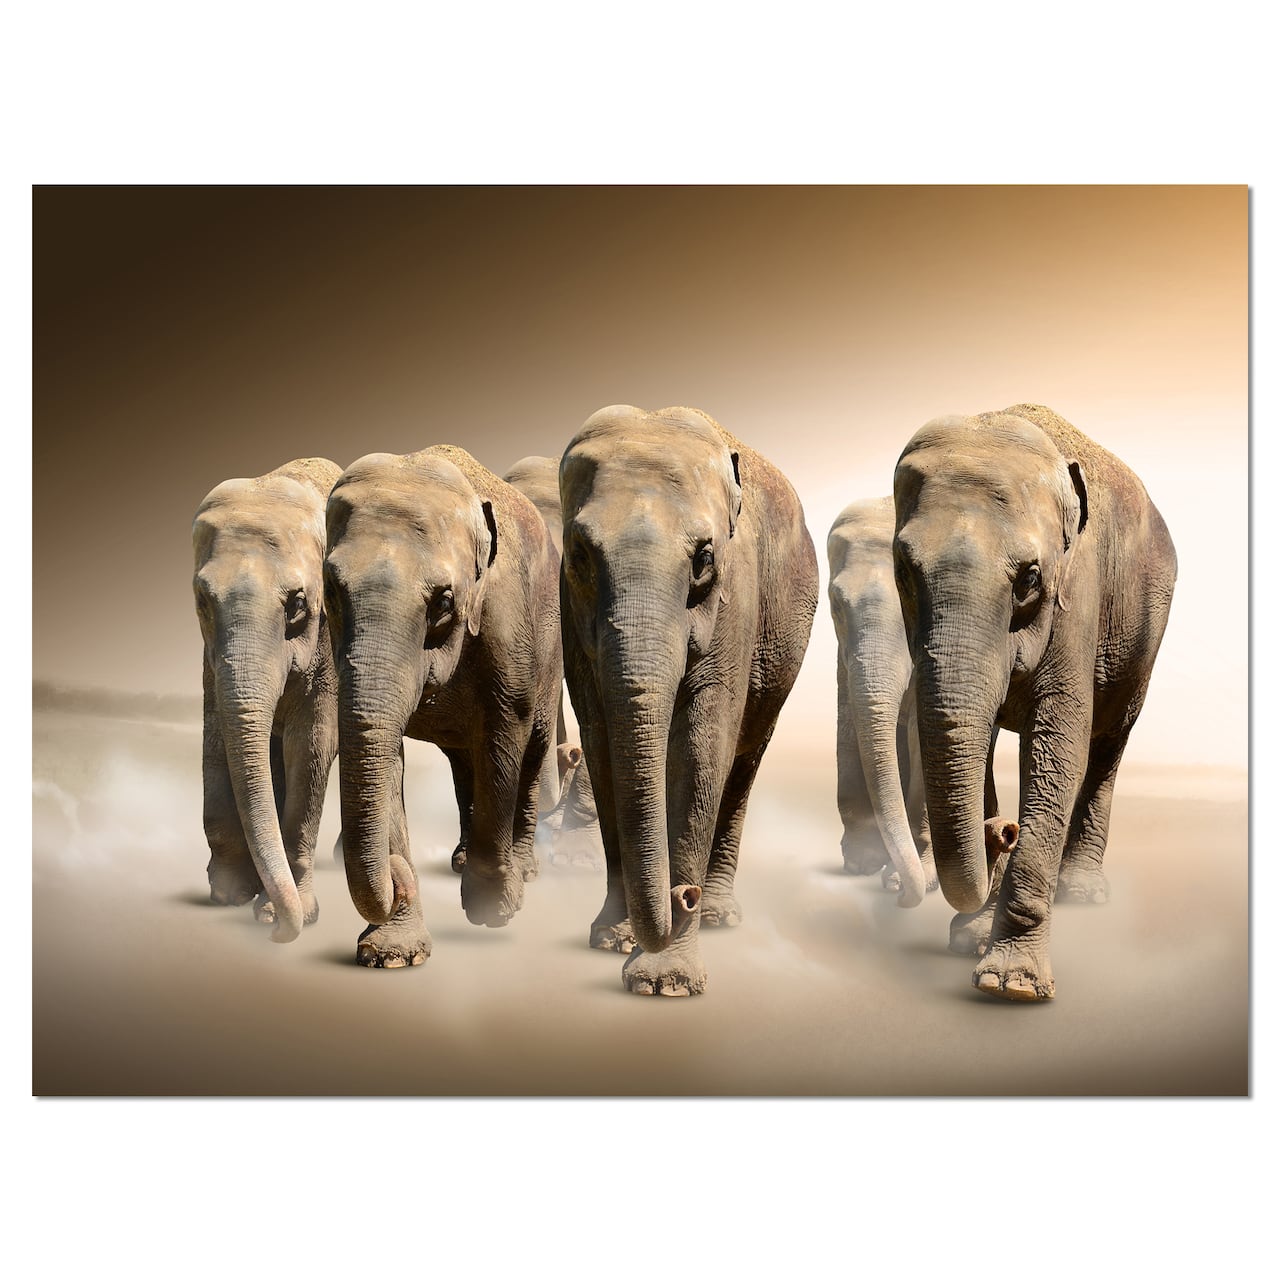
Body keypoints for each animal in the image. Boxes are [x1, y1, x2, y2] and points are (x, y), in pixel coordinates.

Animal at [191, 457, 343, 943]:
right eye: (202, 600)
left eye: (297, 603)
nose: (275, 934)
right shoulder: (209, 658)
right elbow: (217, 733)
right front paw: (229, 895)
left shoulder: (329, 641)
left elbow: (312, 745)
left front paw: (288, 915)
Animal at [324, 444, 561, 968]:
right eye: (330, 591)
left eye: (445, 601)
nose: (396, 877)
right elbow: (384, 751)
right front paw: (391, 954)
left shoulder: (506, 614)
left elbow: (505, 727)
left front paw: (494, 909)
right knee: (462, 760)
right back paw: (460, 858)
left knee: (532, 745)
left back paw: (524, 869)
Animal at [560, 404, 819, 996]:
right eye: (580, 555)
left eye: (704, 558)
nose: (683, 898)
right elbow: (600, 745)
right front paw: (614, 941)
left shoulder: (736, 598)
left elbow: (702, 750)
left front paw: (666, 982)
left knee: (744, 761)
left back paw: (720, 915)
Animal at [893, 403, 1176, 1001]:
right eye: (902, 571)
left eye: (1029, 578)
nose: (1002, 831)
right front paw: (971, 939)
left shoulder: (1079, 591)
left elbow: (1058, 745)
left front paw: (1012, 985)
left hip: (1146, 635)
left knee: (1108, 743)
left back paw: (1082, 893)